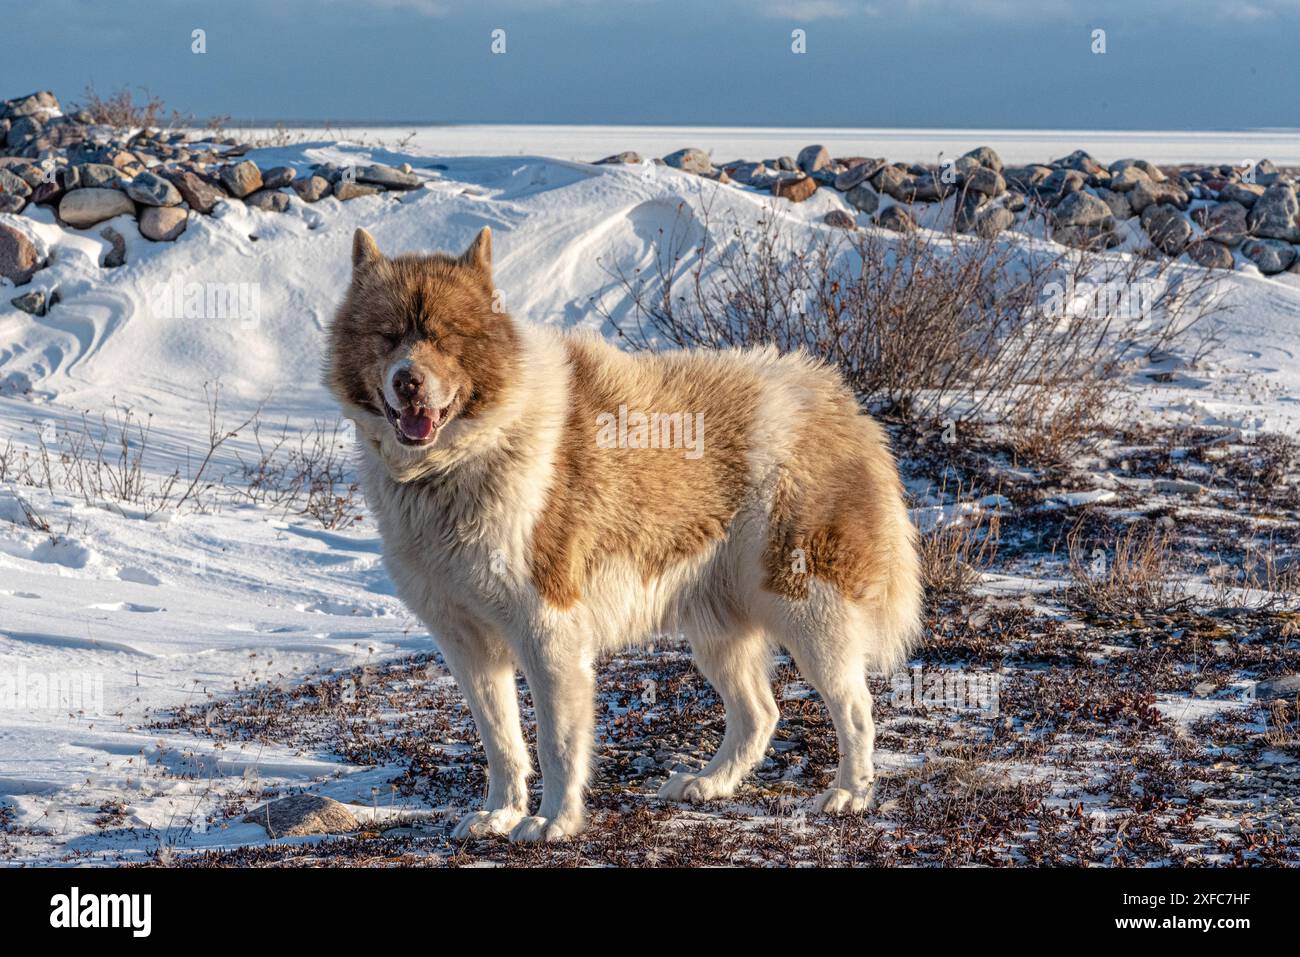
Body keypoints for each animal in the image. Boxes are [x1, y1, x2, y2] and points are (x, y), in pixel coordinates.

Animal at [323, 227, 920, 842]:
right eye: (388, 336)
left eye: (445, 337)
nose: (408, 381)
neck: (462, 457)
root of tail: (841, 403)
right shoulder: (468, 646)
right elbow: (502, 743)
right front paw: (501, 812)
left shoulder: (548, 631)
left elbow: (557, 744)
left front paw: (553, 821)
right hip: (717, 629)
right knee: (761, 714)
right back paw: (709, 784)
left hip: (809, 612)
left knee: (855, 710)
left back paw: (850, 794)